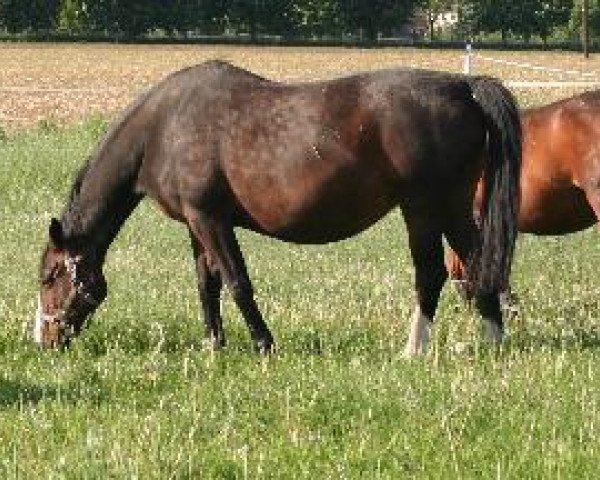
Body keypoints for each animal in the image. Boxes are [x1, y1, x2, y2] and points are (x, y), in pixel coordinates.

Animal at [34, 60, 520, 356]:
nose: (43, 338)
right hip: (451, 206)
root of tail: (462, 86)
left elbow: (237, 282)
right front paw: (214, 346)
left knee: (431, 273)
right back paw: (492, 340)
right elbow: (207, 285)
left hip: (422, 208)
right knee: (478, 263)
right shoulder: (196, 223)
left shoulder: (210, 219)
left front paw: (263, 344)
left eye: (50, 275)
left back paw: (414, 348)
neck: (164, 127)